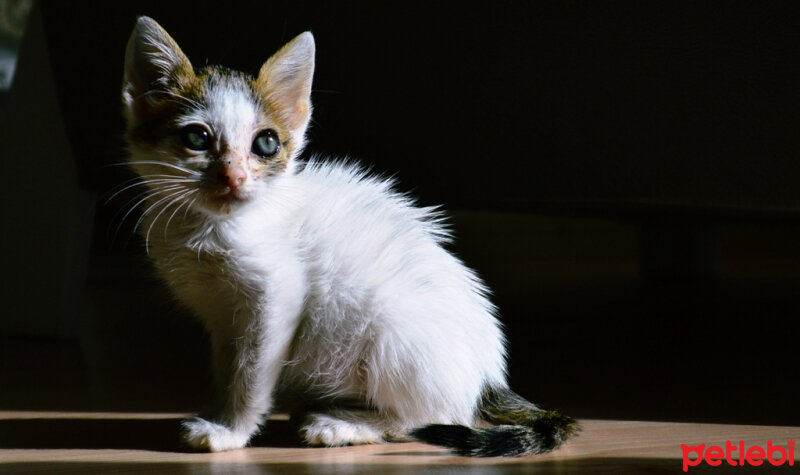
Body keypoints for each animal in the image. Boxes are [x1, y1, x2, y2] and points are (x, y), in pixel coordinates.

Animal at [122, 17, 580, 458]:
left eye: (266, 144)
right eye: (196, 138)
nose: (233, 177)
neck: (209, 226)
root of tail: (488, 375)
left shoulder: (277, 294)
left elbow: (251, 372)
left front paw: (232, 433)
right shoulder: (220, 315)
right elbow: (228, 366)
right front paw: (219, 412)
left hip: (394, 337)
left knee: (433, 418)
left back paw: (342, 425)